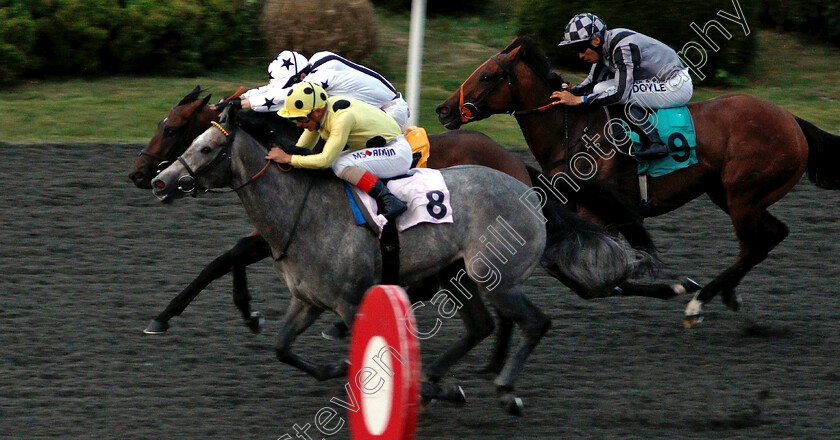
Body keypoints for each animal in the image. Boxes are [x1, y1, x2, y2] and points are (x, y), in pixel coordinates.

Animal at [130, 87, 684, 338]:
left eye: (174, 129)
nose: (145, 176)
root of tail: (515, 167)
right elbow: (233, 256)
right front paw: (247, 311)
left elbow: (224, 258)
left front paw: (166, 315)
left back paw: (678, 287)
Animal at [153, 108, 632, 414]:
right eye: (191, 140)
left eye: (205, 148)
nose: (159, 180)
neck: (301, 211)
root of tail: (530, 191)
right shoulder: (307, 300)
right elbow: (282, 348)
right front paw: (331, 367)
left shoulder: (351, 301)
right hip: (457, 275)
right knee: (482, 326)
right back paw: (441, 383)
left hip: (498, 278)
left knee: (533, 322)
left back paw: (504, 388)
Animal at [434, 37, 840, 326]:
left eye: (487, 76)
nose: (443, 110)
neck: (575, 132)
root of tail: (790, 119)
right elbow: (590, 279)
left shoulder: (606, 214)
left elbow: (610, 273)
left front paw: (680, 285)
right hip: (731, 195)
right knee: (773, 235)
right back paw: (726, 294)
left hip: (743, 195)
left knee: (753, 245)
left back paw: (699, 303)